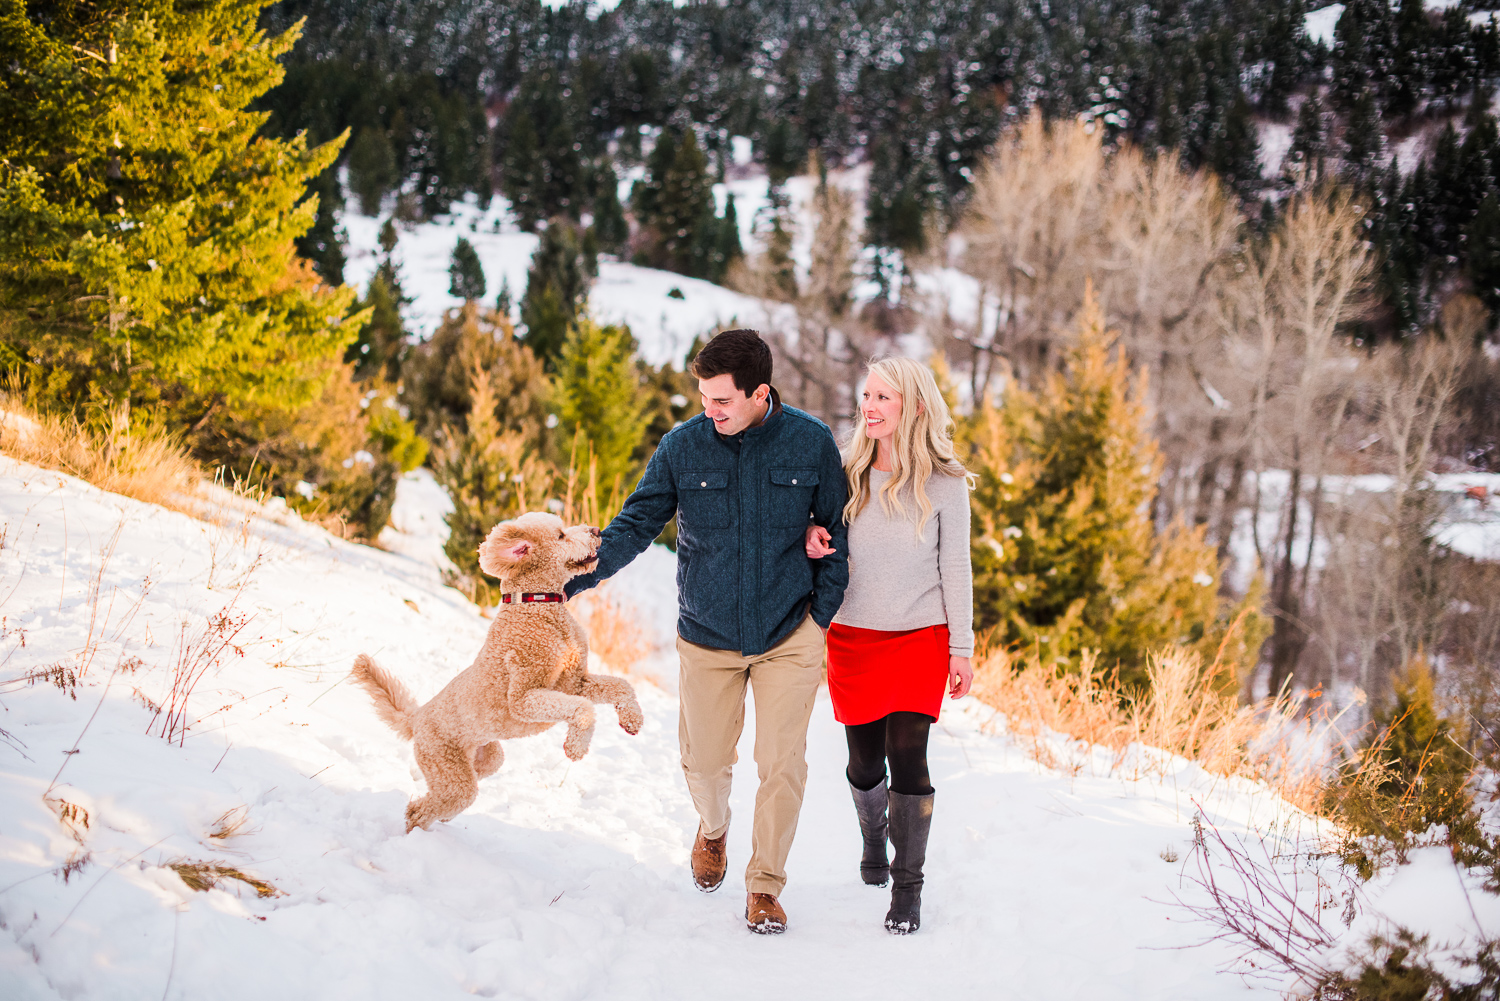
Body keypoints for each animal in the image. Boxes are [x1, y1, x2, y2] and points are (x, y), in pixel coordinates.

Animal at [351, 513, 645, 834]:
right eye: (561, 536)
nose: (596, 530)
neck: (536, 605)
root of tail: (416, 718)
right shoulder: (524, 698)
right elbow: (584, 709)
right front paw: (576, 747)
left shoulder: (574, 682)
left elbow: (621, 687)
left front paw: (632, 720)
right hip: (445, 763)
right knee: (425, 809)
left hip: (484, 758)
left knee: (436, 796)